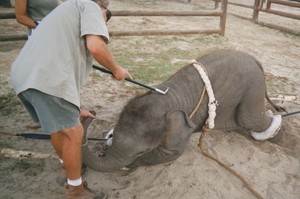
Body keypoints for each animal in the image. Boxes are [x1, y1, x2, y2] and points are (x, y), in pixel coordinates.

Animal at [81, 49, 284, 172]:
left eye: (141, 151)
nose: (92, 112)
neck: (167, 98)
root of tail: (256, 60)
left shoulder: (182, 130)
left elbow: (171, 153)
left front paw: (130, 166)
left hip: (253, 87)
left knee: (250, 120)